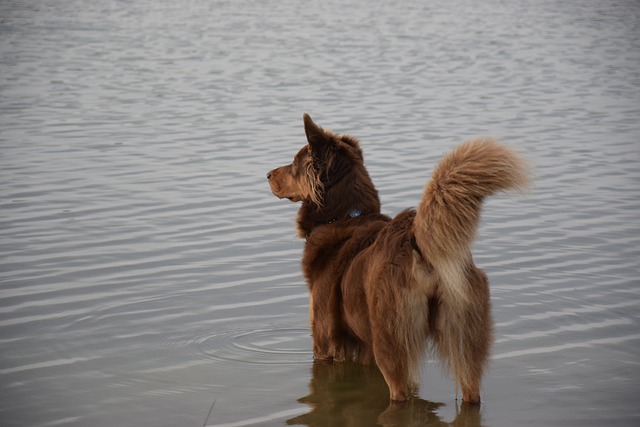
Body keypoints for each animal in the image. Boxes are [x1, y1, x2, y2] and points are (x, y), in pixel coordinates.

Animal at [268, 114, 528, 404]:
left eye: (294, 162)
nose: (267, 175)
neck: (346, 216)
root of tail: (416, 241)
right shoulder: (364, 348)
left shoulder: (324, 342)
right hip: (464, 340)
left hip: (392, 345)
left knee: (399, 394)